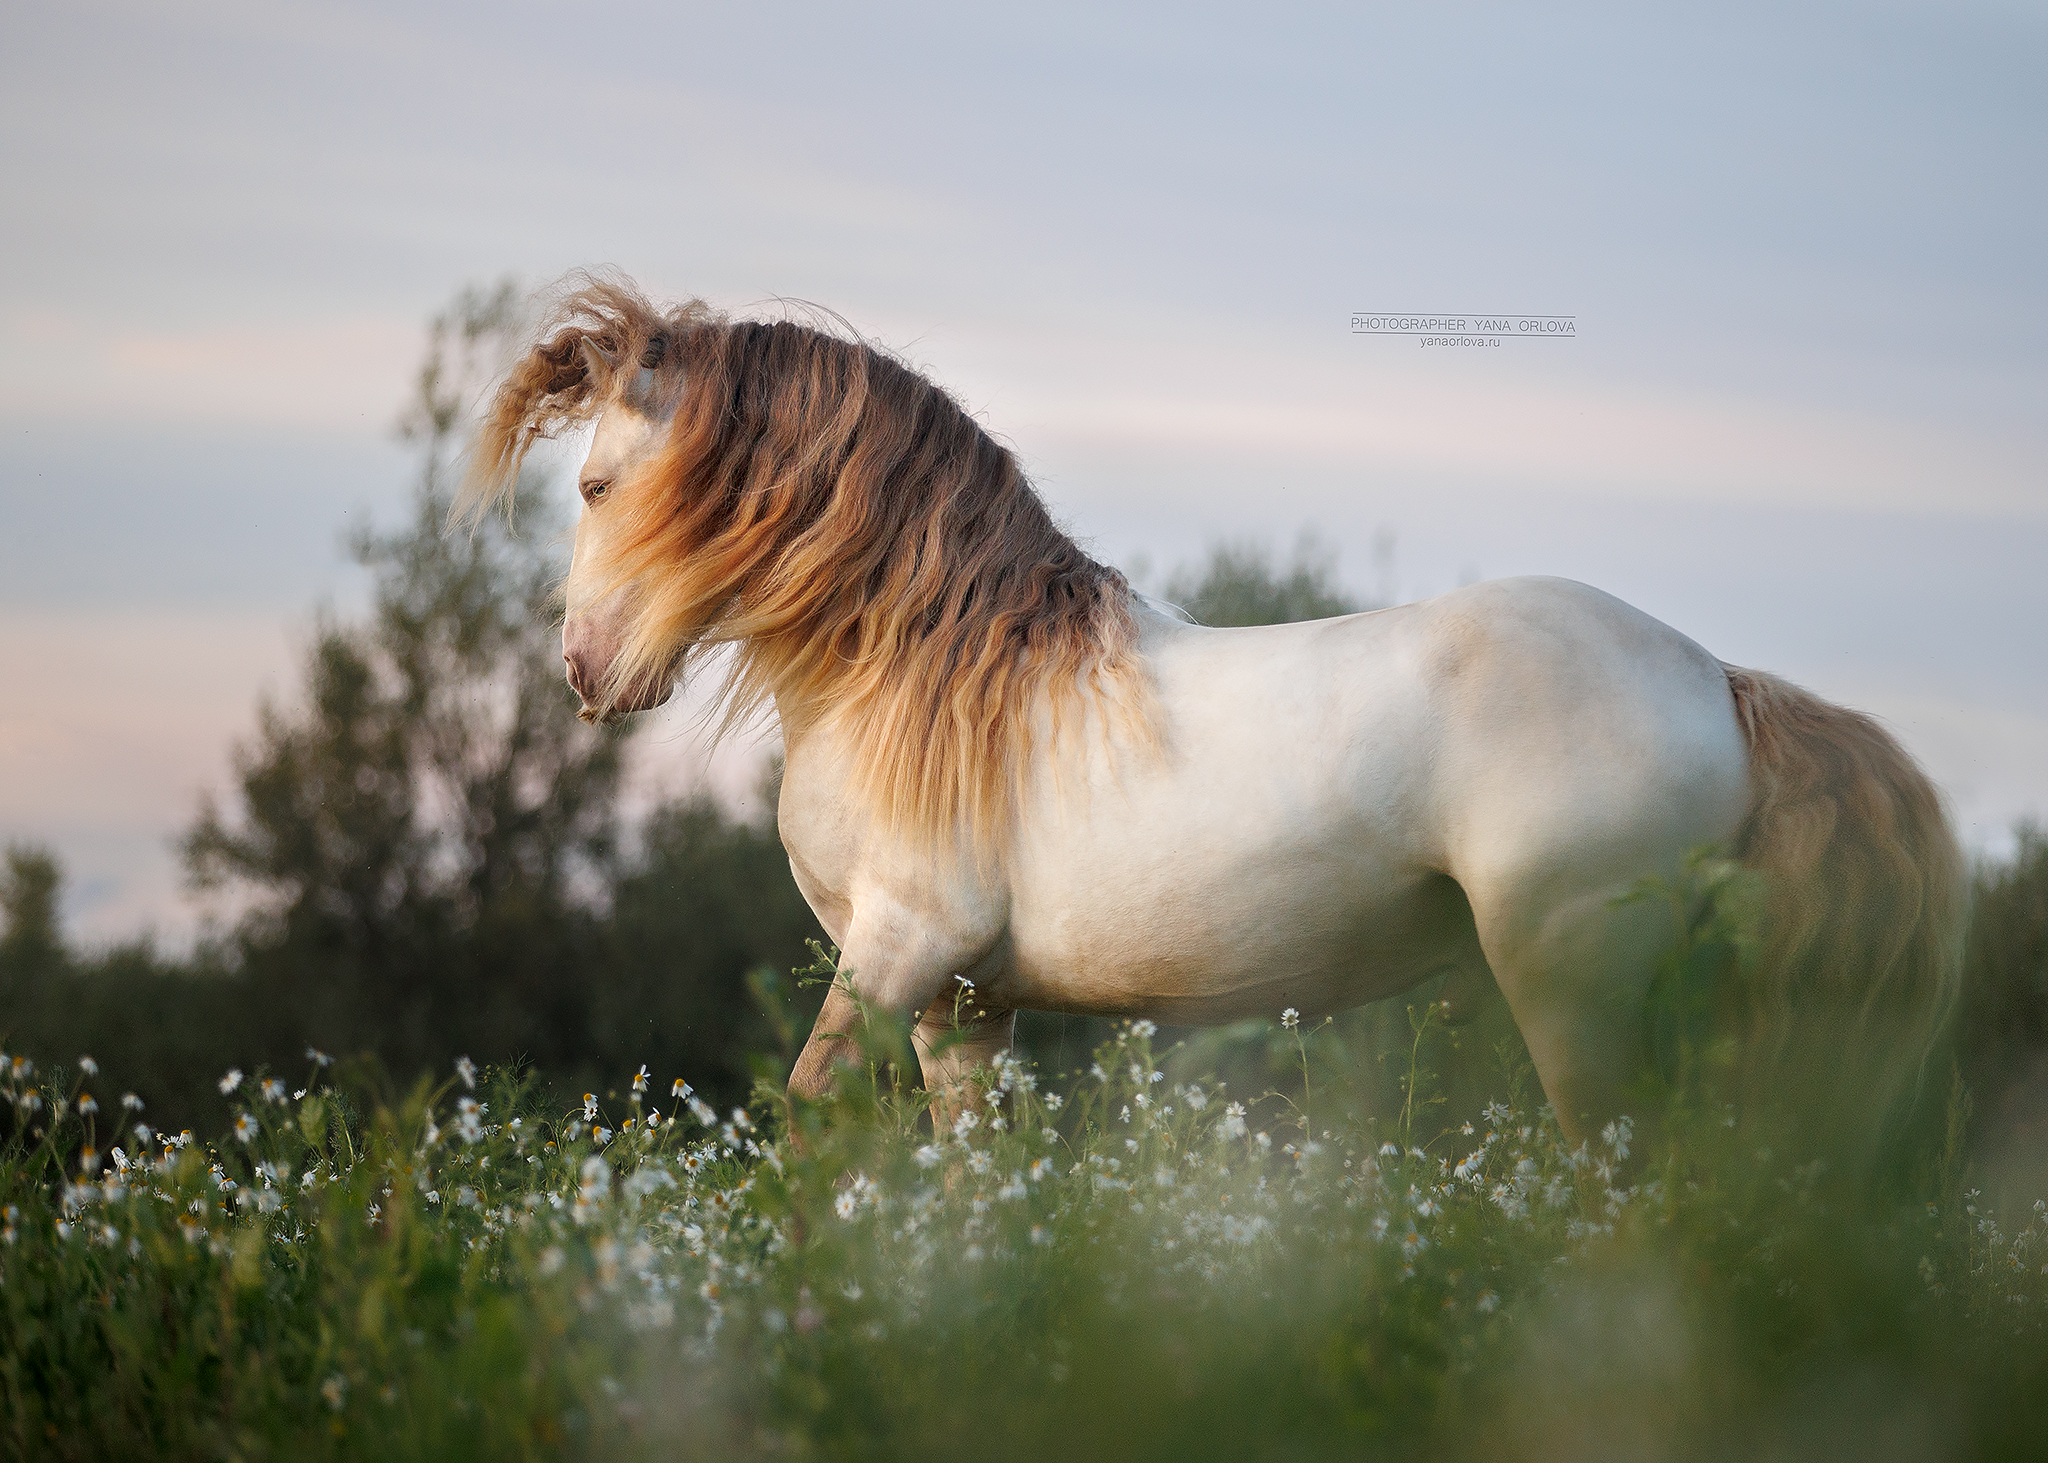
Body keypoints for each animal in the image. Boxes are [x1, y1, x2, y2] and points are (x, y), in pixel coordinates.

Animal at [464, 276, 1966, 1139]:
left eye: (594, 484)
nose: (584, 672)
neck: (923, 675)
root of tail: (1719, 682)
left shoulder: (896, 952)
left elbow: (806, 1122)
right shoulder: (960, 1004)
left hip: (1577, 993)